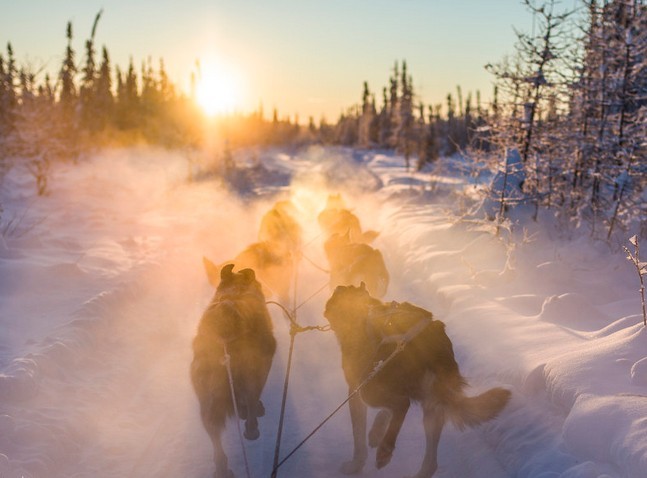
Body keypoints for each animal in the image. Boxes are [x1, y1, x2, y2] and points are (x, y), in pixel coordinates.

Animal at [190, 264, 276, 476]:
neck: (236, 290)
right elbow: (250, 401)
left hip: (207, 402)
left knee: (215, 437)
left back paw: (221, 466)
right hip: (253, 374)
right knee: (252, 402)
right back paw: (252, 429)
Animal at [324, 284, 512, 478]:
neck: (365, 309)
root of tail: (430, 345)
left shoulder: (356, 389)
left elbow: (359, 437)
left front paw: (356, 464)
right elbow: (384, 413)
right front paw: (376, 431)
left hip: (369, 391)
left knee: (402, 404)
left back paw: (385, 451)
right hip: (432, 407)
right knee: (431, 463)